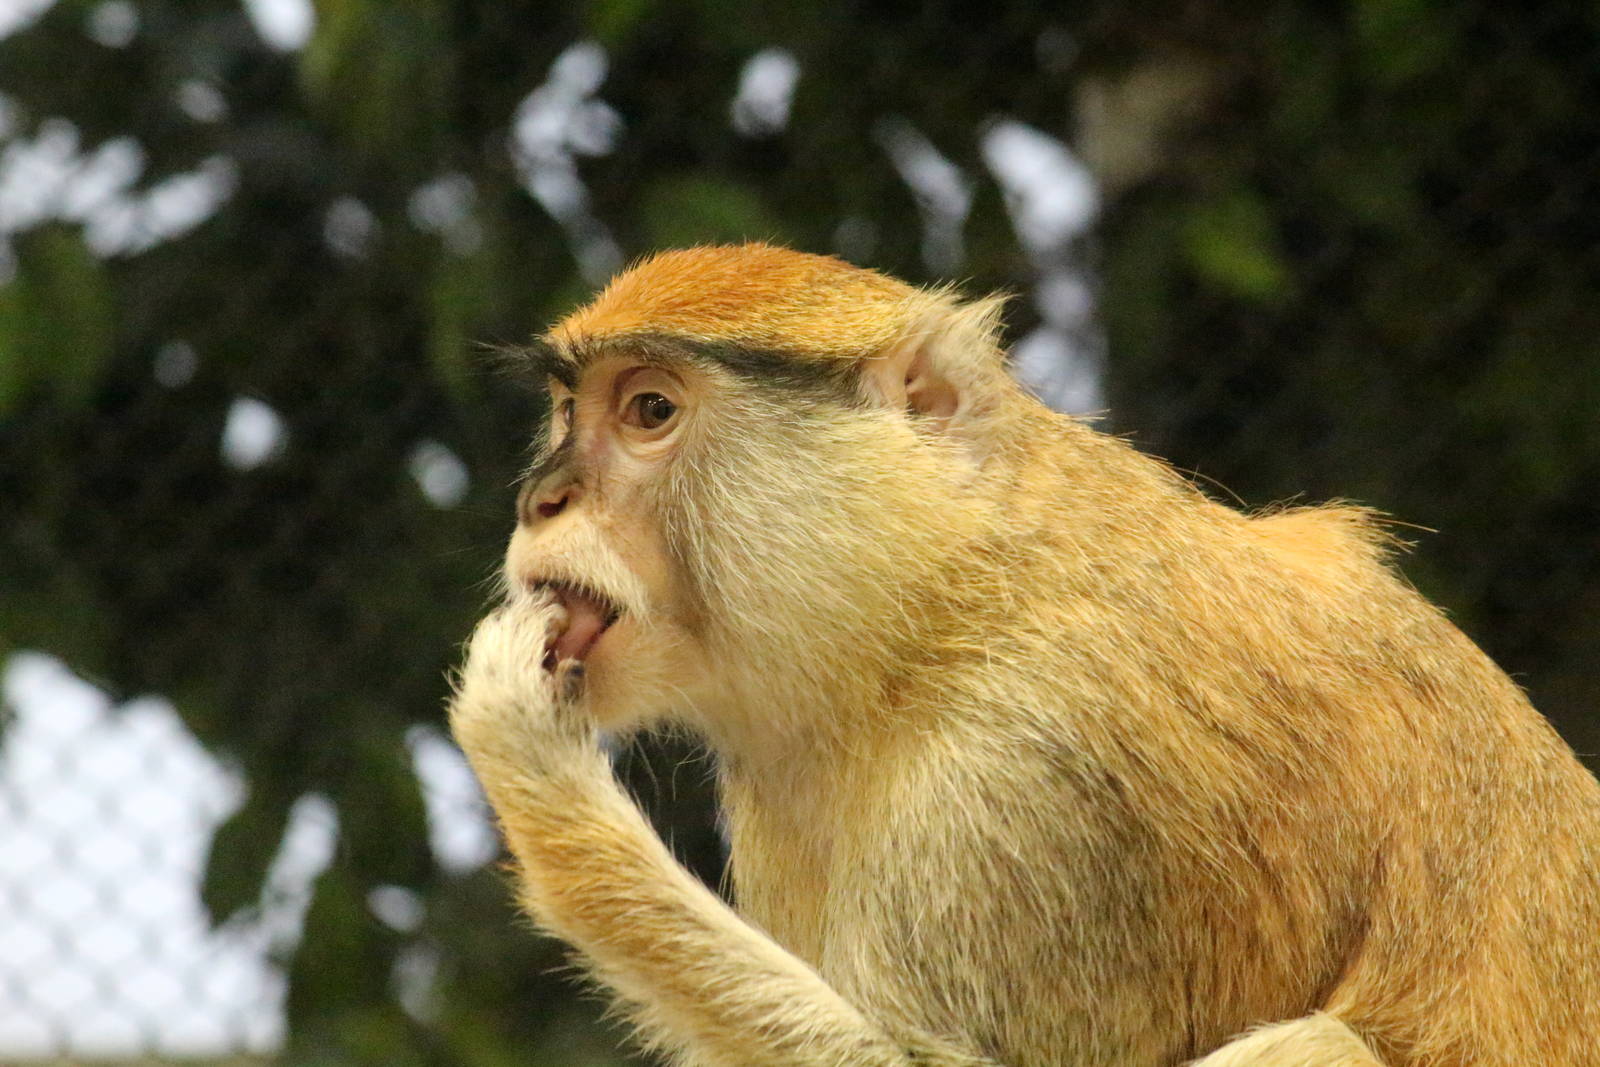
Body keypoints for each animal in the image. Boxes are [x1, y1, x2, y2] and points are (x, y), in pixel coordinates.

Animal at [447, 243, 1600, 1066]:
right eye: (566, 411)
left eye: (649, 408)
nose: (541, 498)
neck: (937, 595)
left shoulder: (1032, 772)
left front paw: (524, 748)